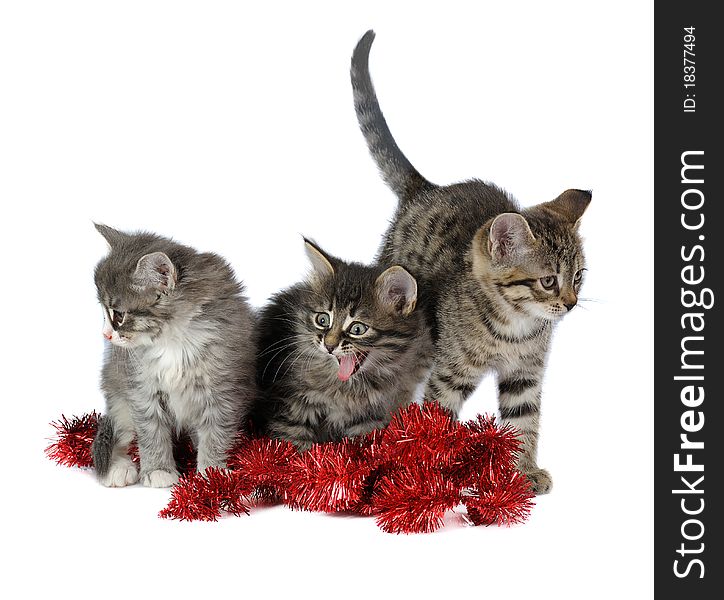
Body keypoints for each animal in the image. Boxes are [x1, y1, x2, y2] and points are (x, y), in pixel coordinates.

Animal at [90, 225, 256, 488]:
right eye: (104, 313)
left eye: (118, 315)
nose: (105, 335)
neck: (173, 342)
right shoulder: (141, 388)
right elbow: (151, 432)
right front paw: (158, 470)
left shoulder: (224, 390)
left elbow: (216, 434)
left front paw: (212, 474)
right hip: (117, 391)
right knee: (121, 432)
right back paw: (118, 468)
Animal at [253, 239, 430, 450]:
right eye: (322, 320)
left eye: (357, 329)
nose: (329, 345)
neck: (347, 389)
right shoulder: (291, 405)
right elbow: (293, 444)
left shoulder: (368, 416)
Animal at [352, 30, 592, 494]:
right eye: (548, 281)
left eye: (579, 277)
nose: (571, 304)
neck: (514, 328)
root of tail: (426, 188)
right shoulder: (449, 372)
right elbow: (437, 418)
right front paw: (429, 475)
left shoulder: (525, 375)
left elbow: (524, 420)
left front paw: (523, 471)